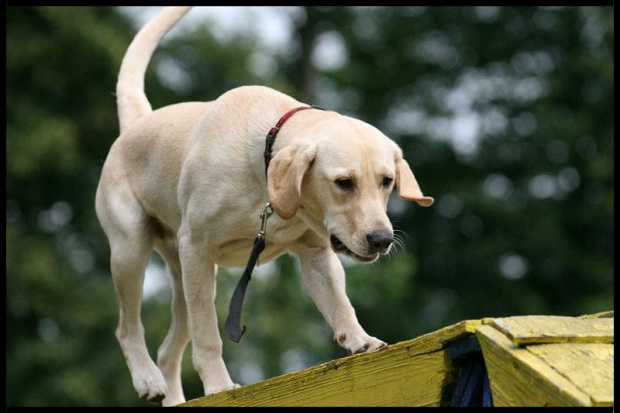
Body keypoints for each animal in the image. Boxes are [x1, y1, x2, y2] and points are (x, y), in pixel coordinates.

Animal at [95, 6, 432, 406]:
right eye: (343, 182)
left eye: (387, 181)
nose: (381, 239)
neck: (265, 165)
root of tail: (138, 122)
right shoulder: (197, 246)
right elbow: (208, 336)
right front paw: (220, 387)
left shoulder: (316, 256)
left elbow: (340, 304)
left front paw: (361, 340)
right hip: (134, 250)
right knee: (127, 328)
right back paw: (148, 379)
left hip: (186, 276)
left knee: (167, 349)